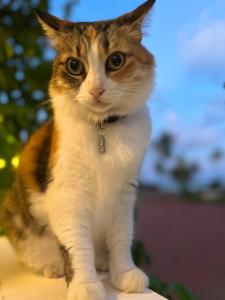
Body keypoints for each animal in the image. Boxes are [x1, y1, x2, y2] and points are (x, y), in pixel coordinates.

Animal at [1, 0, 156, 300]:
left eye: (115, 60)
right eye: (74, 65)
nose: (96, 89)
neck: (103, 131)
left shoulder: (124, 193)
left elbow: (121, 237)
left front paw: (124, 273)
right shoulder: (67, 195)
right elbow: (76, 246)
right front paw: (85, 285)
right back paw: (52, 265)